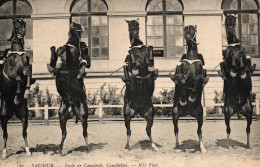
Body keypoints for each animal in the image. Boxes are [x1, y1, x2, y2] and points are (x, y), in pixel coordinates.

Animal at [47, 22, 91, 155]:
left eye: (77, 25)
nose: (71, 24)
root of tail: (73, 108)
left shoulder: (73, 59)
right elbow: (56, 52)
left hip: (83, 116)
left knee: (84, 133)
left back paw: (87, 149)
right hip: (62, 117)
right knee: (64, 133)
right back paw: (60, 149)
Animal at [123, 19, 159, 150]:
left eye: (138, 25)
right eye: (130, 26)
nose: (136, 35)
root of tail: (138, 110)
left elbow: (149, 49)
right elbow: (132, 58)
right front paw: (133, 58)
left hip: (150, 115)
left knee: (148, 130)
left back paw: (154, 146)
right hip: (127, 115)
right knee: (129, 131)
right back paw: (127, 146)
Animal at [171, 24, 209, 153]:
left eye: (192, 30)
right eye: (184, 30)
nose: (187, 39)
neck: (191, 59)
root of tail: (187, 111)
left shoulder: (201, 76)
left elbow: (197, 81)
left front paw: (192, 97)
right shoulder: (180, 74)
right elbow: (182, 80)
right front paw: (183, 98)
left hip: (200, 116)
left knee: (199, 131)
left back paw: (202, 147)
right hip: (175, 114)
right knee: (176, 129)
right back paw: (177, 146)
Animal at [217, 14, 256, 149]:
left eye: (233, 20)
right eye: (226, 21)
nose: (229, 28)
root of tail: (238, 109)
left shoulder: (243, 58)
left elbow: (245, 66)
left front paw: (244, 71)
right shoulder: (227, 60)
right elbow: (226, 65)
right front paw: (230, 70)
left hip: (249, 113)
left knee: (248, 129)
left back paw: (248, 144)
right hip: (227, 112)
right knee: (228, 129)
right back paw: (228, 144)